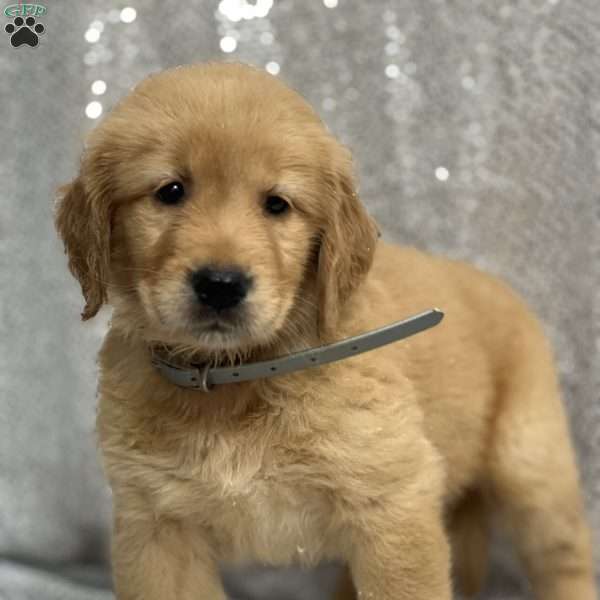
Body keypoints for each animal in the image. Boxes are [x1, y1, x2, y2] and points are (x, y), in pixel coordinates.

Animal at [55, 62, 596, 600]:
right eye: (170, 191)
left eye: (277, 205)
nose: (221, 285)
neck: (237, 379)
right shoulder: (158, 526)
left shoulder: (393, 504)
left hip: (531, 463)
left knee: (564, 555)